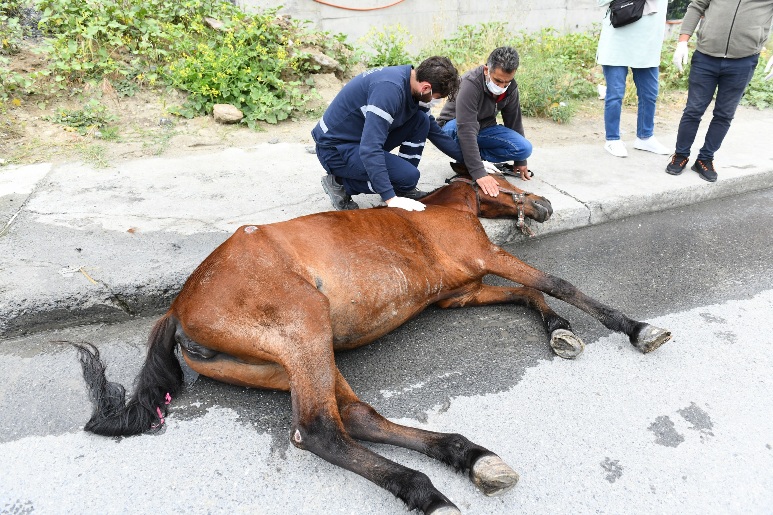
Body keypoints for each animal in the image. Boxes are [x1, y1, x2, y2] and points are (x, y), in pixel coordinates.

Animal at [71, 164, 668, 515]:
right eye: (512, 181)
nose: (543, 205)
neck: (440, 214)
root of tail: (178, 308)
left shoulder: (462, 292)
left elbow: (530, 296)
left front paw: (560, 333)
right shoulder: (488, 257)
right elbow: (555, 284)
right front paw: (635, 329)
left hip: (298, 356)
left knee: (355, 417)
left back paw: (467, 458)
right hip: (306, 326)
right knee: (318, 430)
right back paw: (430, 494)